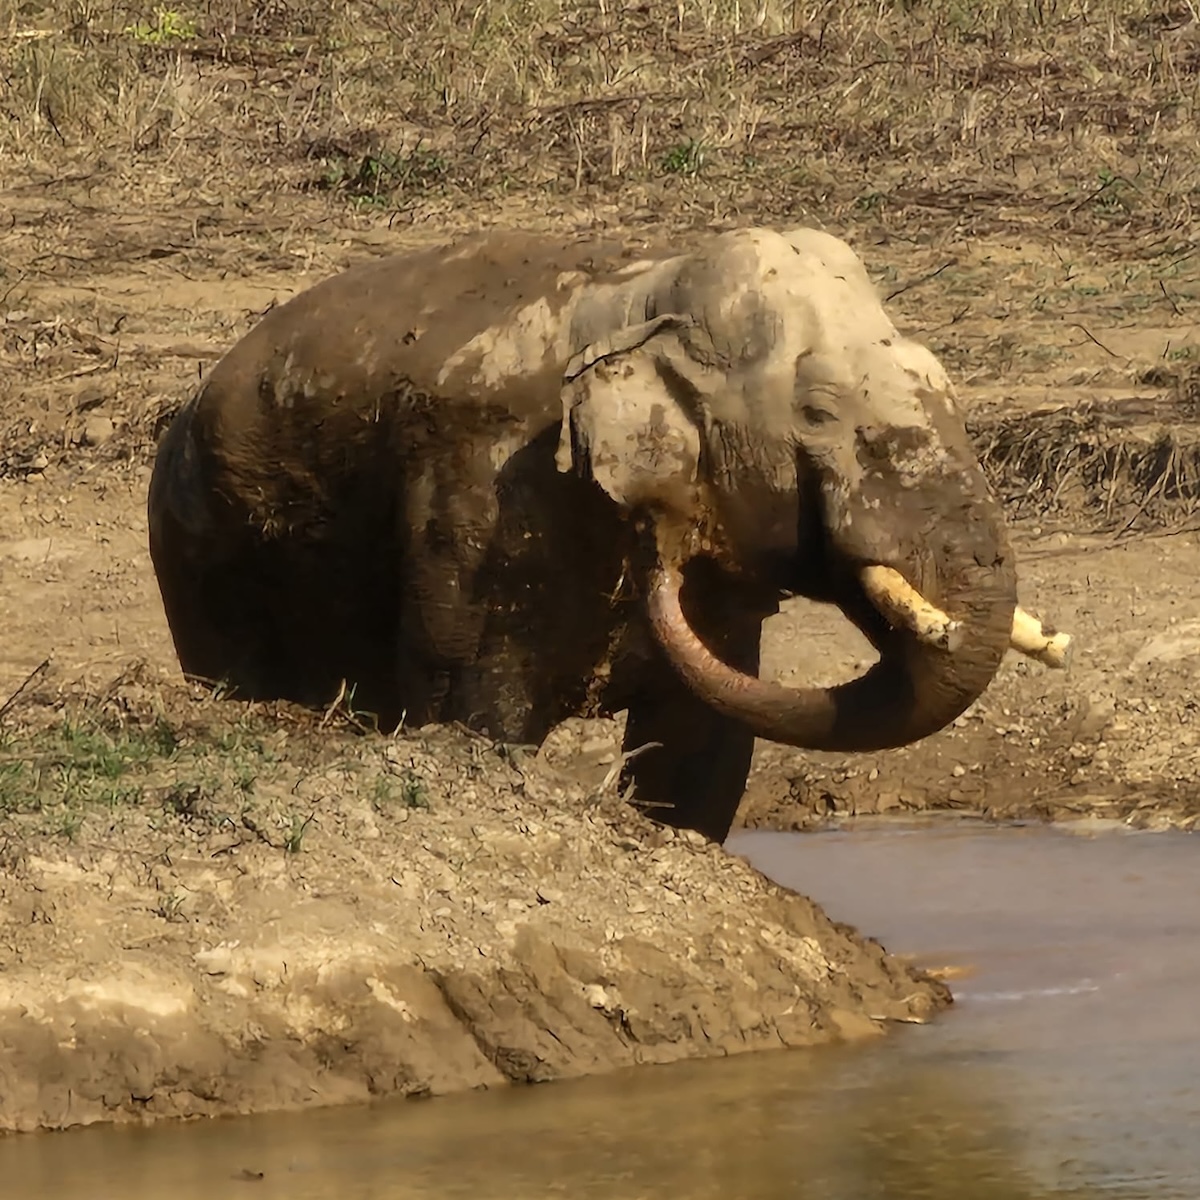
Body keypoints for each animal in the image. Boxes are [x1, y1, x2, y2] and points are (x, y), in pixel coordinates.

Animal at [147, 225, 1068, 843]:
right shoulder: (480, 501)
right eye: (819, 416)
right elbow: (476, 718)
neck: (650, 296)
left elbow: (701, 753)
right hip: (196, 550)